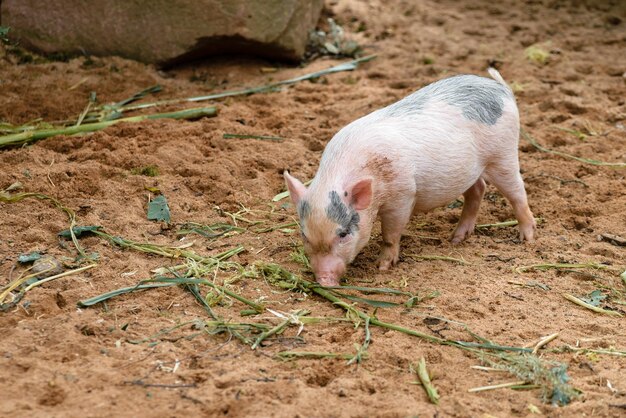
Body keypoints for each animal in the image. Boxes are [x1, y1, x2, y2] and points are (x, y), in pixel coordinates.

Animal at [286, 70, 532, 288]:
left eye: (343, 233)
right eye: (304, 234)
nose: (324, 280)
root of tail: (501, 89)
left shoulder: (403, 196)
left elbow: (390, 234)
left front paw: (382, 267)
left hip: (503, 155)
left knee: (518, 192)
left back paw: (526, 239)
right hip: (471, 170)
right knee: (478, 189)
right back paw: (456, 239)